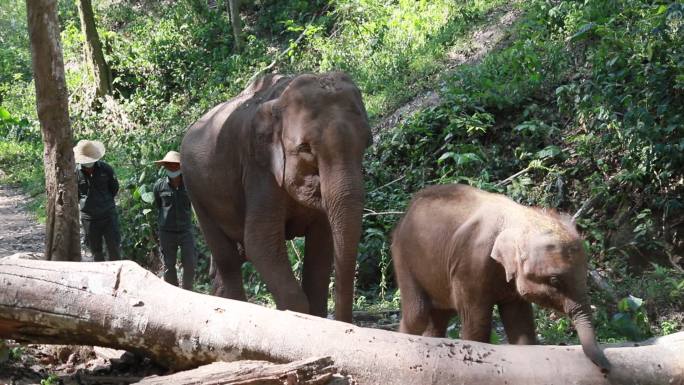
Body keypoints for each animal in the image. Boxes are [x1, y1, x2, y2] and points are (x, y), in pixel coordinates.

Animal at [182, 72, 372, 320]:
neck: (279, 100)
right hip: (195, 193)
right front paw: (295, 315)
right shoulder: (259, 171)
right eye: (305, 148)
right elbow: (259, 242)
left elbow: (322, 242)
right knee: (227, 257)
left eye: (368, 142)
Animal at [392, 184, 612, 370]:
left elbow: (521, 324)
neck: (520, 216)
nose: (607, 367)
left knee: (439, 316)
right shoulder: (471, 263)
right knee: (417, 314)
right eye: (554, 281)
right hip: (403, 256)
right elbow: (477, 324)